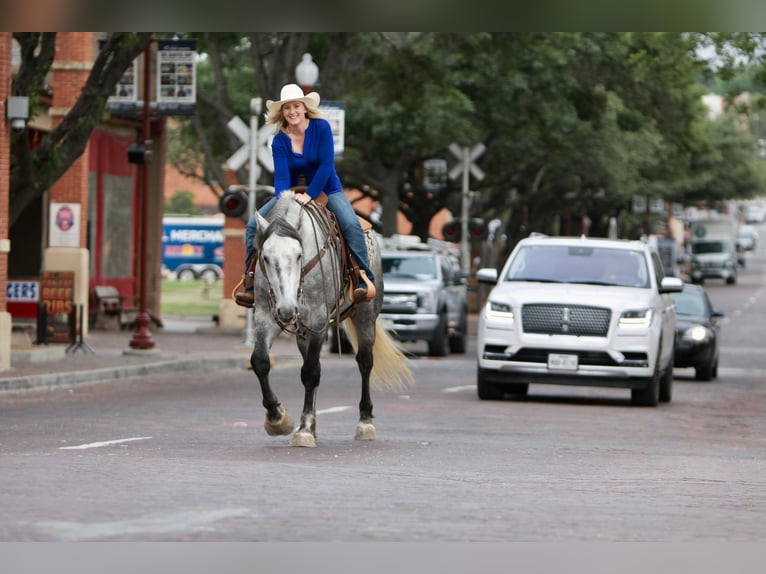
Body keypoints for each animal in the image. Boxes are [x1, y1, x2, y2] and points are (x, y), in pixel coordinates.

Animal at [252, 191, 412, 448]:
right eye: (266, 257)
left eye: (298, 255)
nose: (287, 310)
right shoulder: (265, 316)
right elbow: (261, 362)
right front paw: (278, 418)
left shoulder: (318, 320)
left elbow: (310, 373)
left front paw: (304, 430)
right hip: (303, 332)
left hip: (366, 316)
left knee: (364, 362)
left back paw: (365, 422)